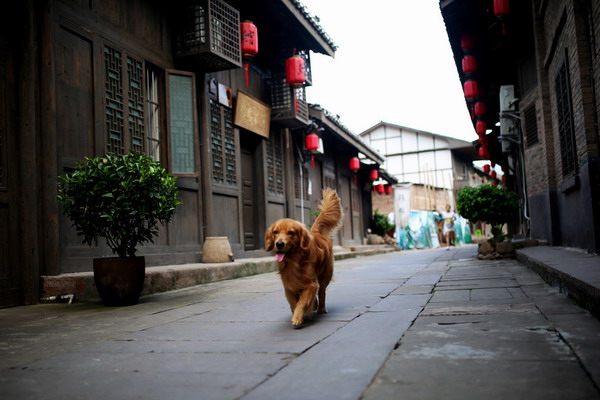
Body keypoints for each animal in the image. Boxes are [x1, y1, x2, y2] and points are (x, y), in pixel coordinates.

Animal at [264, 189, 340, 326]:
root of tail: (316, 232)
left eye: (291, 232)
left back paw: (321, 308)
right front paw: (298, 314)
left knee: (321, 292)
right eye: (275, 232)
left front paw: (298, 317)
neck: (293, 261)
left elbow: (302, 302)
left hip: (325, 276)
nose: (279, 244)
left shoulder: (310, 283)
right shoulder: (289, 285)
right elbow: (294, 303)